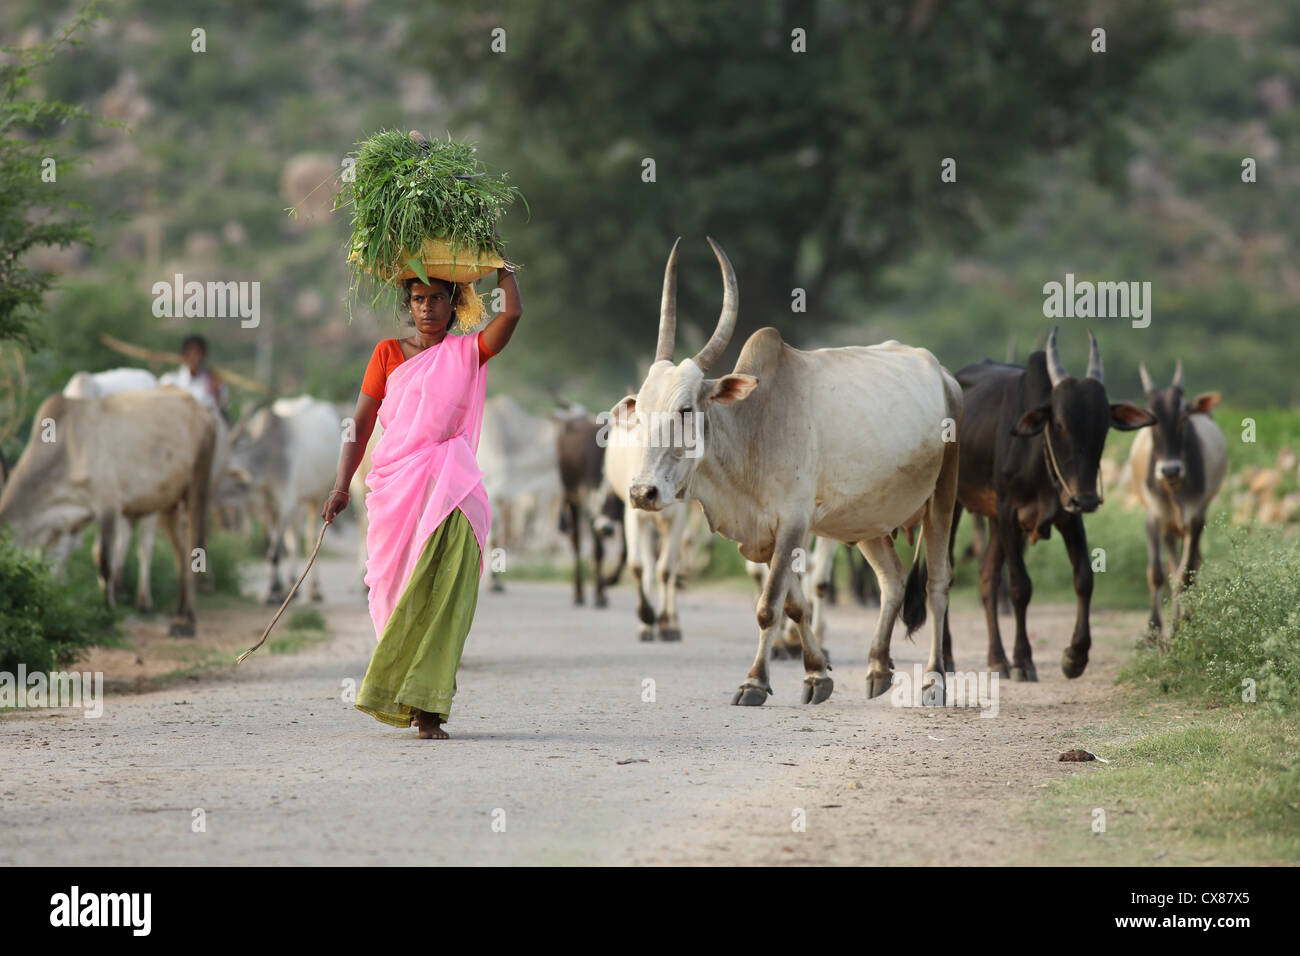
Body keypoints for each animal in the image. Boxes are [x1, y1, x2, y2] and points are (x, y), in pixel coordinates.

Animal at [0, 390, 215, 634]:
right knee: (181, 552)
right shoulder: (61, 524)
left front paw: (107, 613)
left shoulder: (108, 504)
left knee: (194, 546)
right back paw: (179, 612)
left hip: (197, 488)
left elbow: (104, 562)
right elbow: (50, 565)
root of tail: (202, 410)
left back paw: (189, 617)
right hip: (168, 502)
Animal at [613, 235, 961, 707]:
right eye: (641, 410)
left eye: (685, 409)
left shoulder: (793, 523)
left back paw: (933, 680)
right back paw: (876, 667)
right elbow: (794, 604)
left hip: (943, 496)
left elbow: (768, 606)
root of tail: (944, 375)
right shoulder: (771, 535)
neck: (752, 431)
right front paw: (816, 675)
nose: (641, 493)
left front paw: (754, 683)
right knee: (892, 579)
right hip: (867, 518)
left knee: (937, 585)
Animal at [904, 329, 1159, 681]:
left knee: (986, 577)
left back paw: (997, 659)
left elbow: (1084, 578)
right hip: (953, 505)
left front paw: (1075, 657)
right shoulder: (1010, 513)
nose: (1087, 498)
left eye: (1103, 425)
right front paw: (1024, 661)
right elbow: (1020, 587)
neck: (1039, 459)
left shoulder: (1068, 515)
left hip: (993, 518)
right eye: (1061, 423)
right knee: (946, 570)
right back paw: (950, 655)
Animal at [1128, 361, 1227, 639]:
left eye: (1183, 417)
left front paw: (1181, 625)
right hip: (1170, 528)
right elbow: (1157, 574)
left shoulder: (1195, 519)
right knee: (1172, 567)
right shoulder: (1154, 518)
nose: (1170, 469)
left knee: (1190, 567)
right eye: (1151, 420)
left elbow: (1186, 575)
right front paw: (1153, 631)